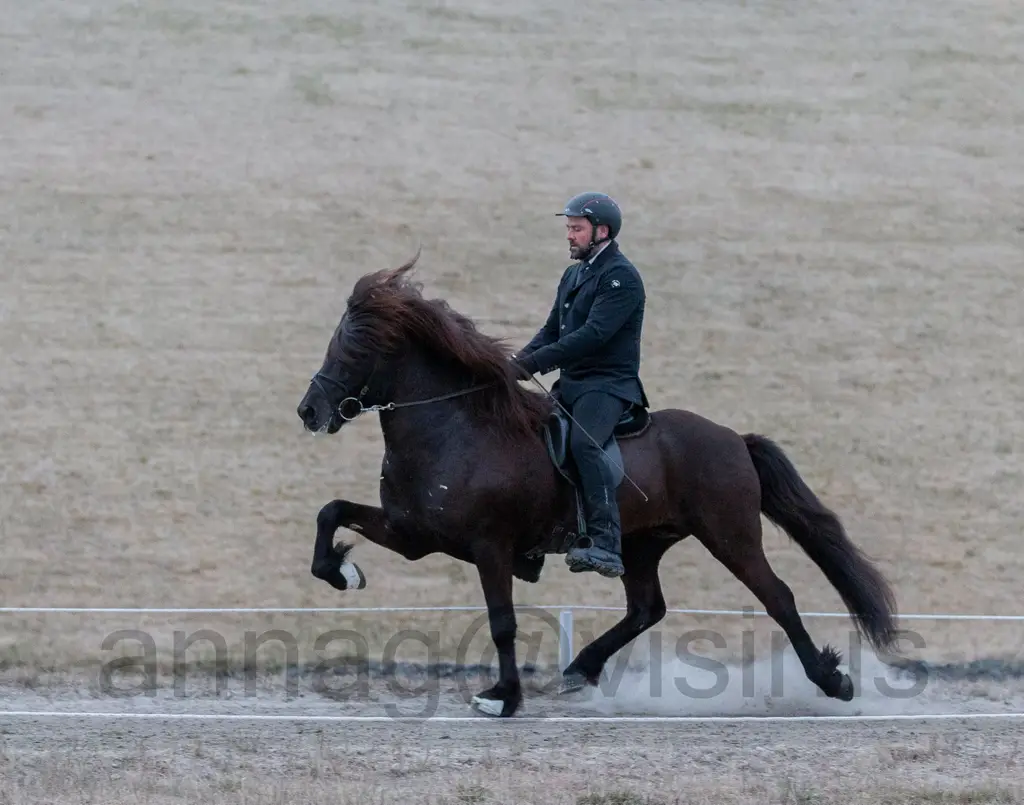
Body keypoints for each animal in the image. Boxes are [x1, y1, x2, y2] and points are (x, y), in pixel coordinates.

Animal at [294, 256, 897, 716]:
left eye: (354, 349)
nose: (309, 411)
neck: (453, 427)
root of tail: (732, 439)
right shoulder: (413, 534)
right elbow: (330, 511)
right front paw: (342, 572)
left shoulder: (490, 547)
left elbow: (503, 623)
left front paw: (502, 698)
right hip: (642, 543)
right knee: (646, 609)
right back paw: (580, 668)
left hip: (730, 535)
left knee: (777, 597)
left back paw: (832, 681)